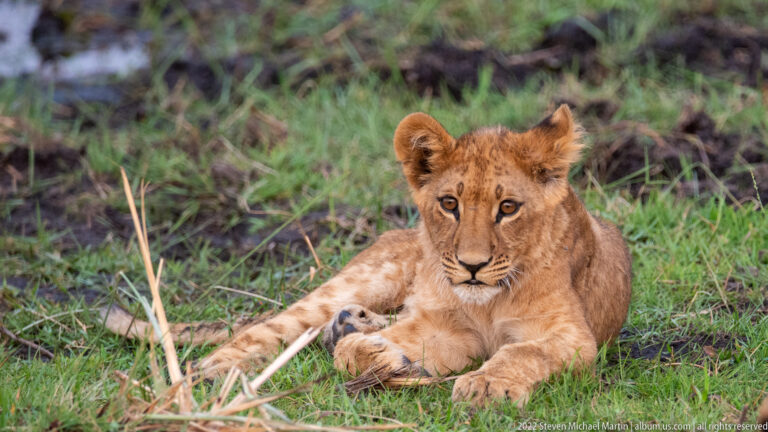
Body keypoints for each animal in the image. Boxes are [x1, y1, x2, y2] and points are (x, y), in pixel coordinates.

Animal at [103, 104, 632, 406]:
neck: (487, 303)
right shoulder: (446, 327)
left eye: (508, 208)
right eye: (450, 204)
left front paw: (484, 385)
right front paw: (377, 353)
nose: (472, 266)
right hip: (365, 278)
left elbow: (523, 350)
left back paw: (351, 324)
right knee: (265, 330)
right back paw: (209, 373)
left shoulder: (573, 337)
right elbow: (354, 354)